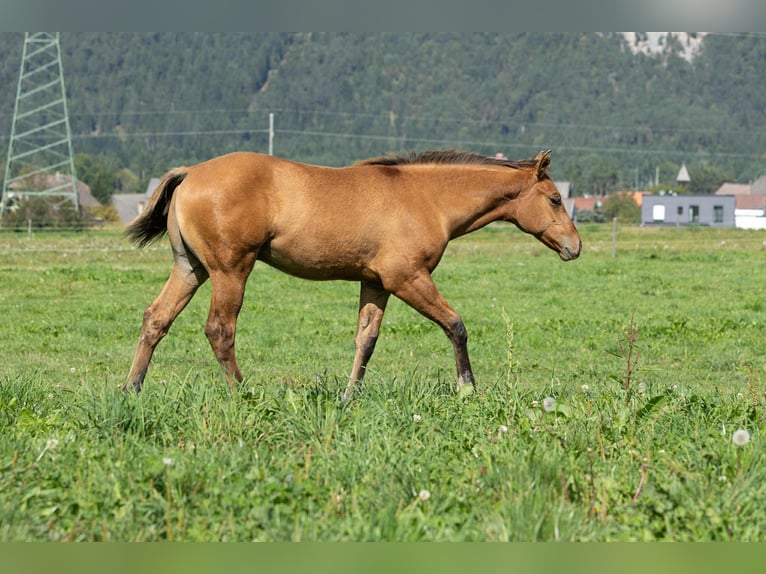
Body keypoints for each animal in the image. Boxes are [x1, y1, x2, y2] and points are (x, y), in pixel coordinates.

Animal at [124, 149, 581, 400]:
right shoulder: (407, 278)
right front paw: (467, 387)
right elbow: (456, 325)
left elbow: (366, 340)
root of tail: (190, 172)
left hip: (190, 268)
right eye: (555, 199)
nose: (575, 247)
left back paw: (131, 389)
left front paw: (348, 396)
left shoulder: (376, 283)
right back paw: (243, 391)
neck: (426, 199)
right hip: (230, 269)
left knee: (156, 319)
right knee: (220, 329)